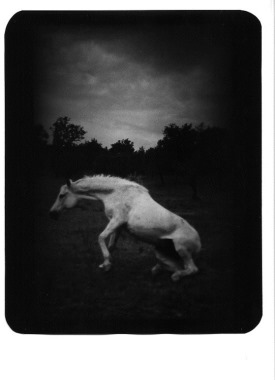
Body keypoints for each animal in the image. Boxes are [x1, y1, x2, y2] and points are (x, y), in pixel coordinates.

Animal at [49, 174, 202, 280]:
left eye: (61, 195)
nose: (52, 214)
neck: (114, 193)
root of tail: (199, 243)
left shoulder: (117, 220)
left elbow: (100, 237)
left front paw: (106, 264)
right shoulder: (118, 226)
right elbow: (110, 245)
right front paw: (106, 264)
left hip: (182, 249)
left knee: (192, 269)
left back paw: (176, 277)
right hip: (161, 254)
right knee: (175, 267)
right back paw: (158, 270)